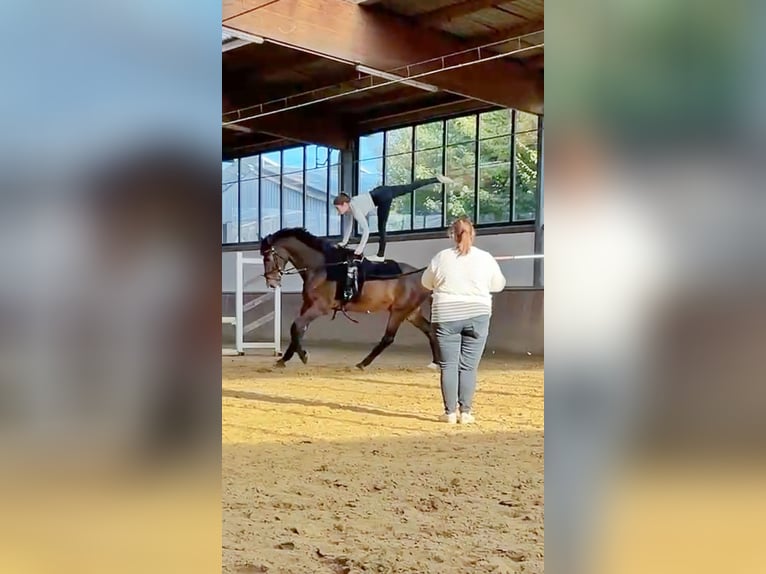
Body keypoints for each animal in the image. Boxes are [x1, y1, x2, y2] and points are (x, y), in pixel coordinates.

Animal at [260, 227, 438, 372]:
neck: (323, 267)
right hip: (411, 313)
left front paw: (303, 355)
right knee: (430, 331)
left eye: (267, 258)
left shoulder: (319, 307)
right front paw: (284, 359)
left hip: (399, 312)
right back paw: (435, 362)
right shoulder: (308, 305)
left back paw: (362, 363)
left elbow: (296, 326)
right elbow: (298, 329)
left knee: (388, 338)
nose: (271, 283)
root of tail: (423, 276)